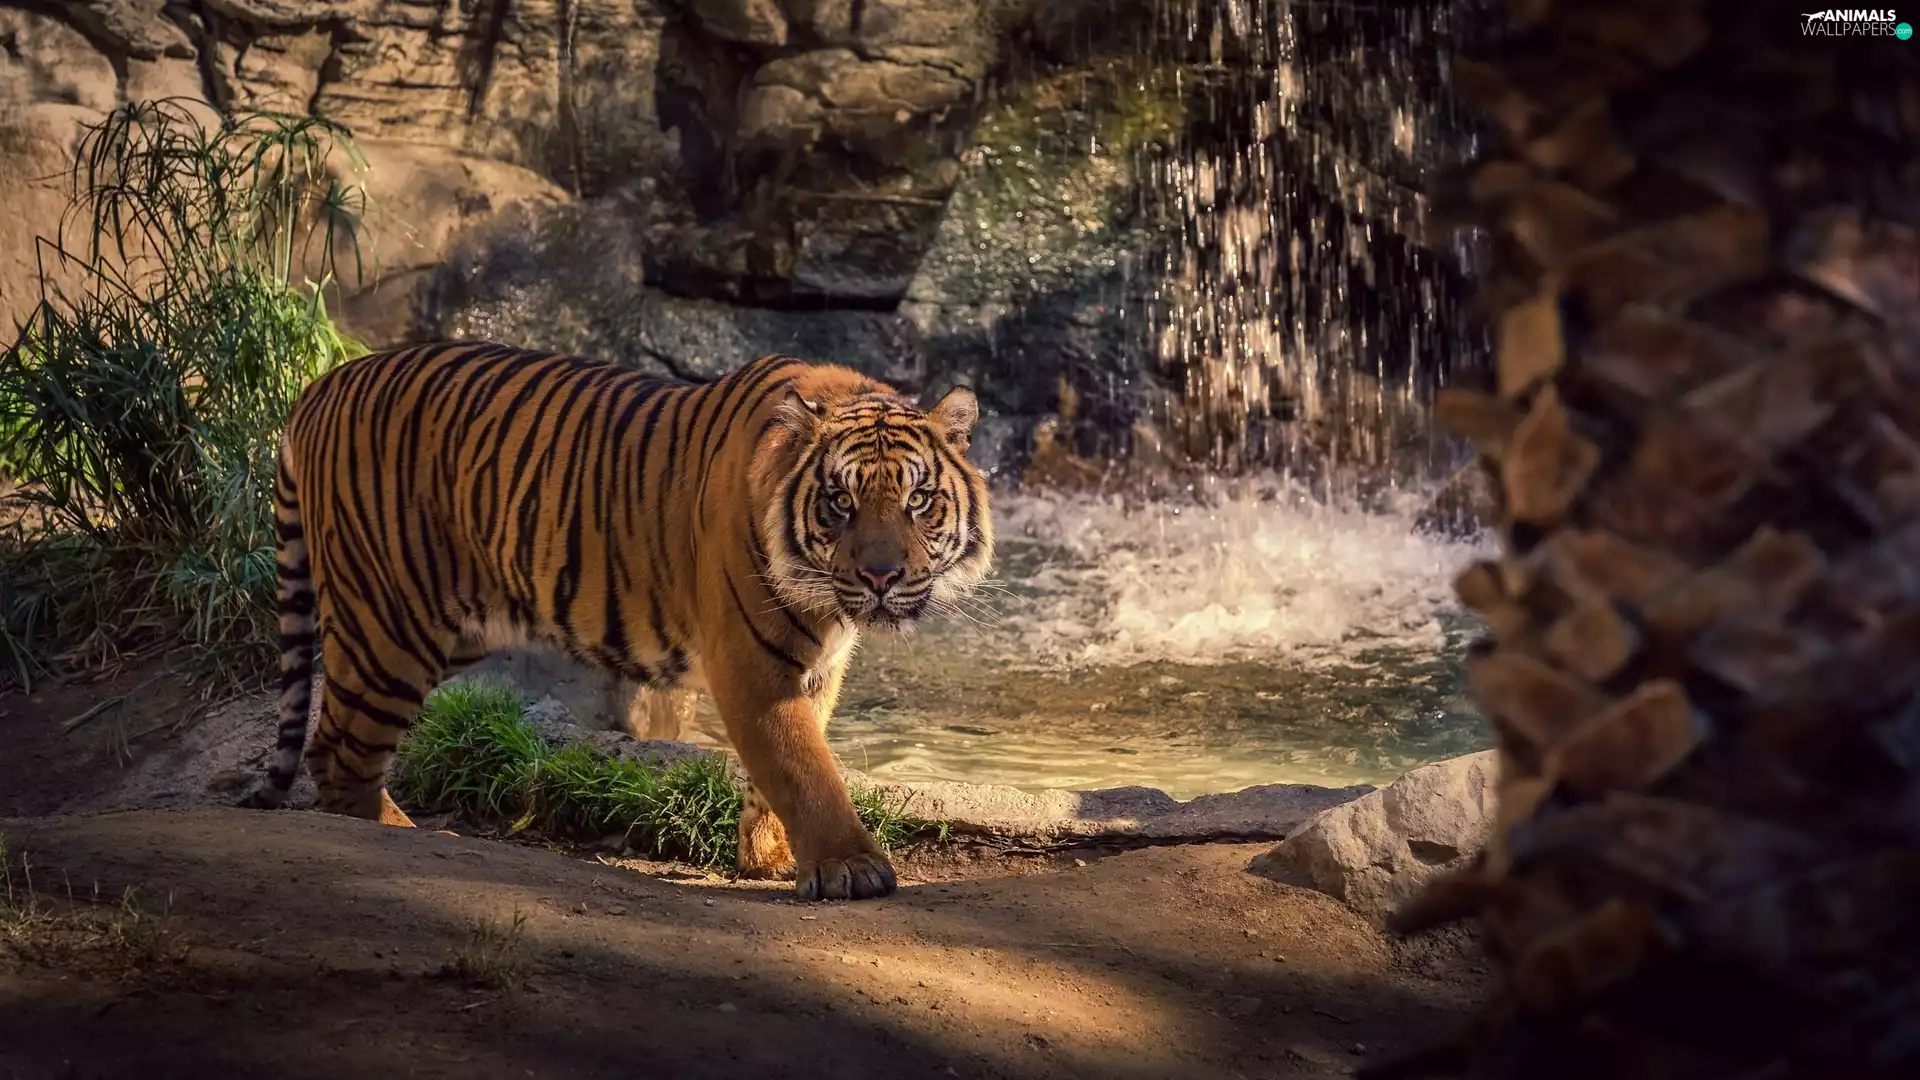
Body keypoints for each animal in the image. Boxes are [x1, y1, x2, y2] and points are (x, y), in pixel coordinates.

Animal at [240, 343, 995, 901]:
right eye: (840, 501)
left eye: (918, 499)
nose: (880, 577)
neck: (825, 599)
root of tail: (322, 383)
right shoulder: (752, 663)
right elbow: (803, 764)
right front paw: (848, 867)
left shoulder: (819, 667)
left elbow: (788, 762)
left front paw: (770, 855)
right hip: (387, 625)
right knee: (339, 750)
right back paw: (407, 835)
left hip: (451, 624)